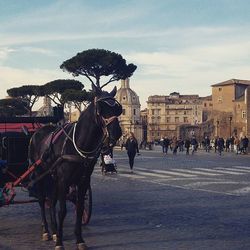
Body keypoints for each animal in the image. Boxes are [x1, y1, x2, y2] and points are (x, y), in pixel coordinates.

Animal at [28, 84, 122, 250]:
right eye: (101, 108)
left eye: (118, 108)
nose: (117, 133)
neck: (78, 143)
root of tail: (36, 132)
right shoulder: (64, 181)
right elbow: (63, 211)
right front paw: (60, 243)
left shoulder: (83, 182)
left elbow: (79, 208)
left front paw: (79, 239)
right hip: (40, 173)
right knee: (42, 200)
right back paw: (46, 231)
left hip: (53, 178)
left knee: (51, 202)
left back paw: (54, 231)